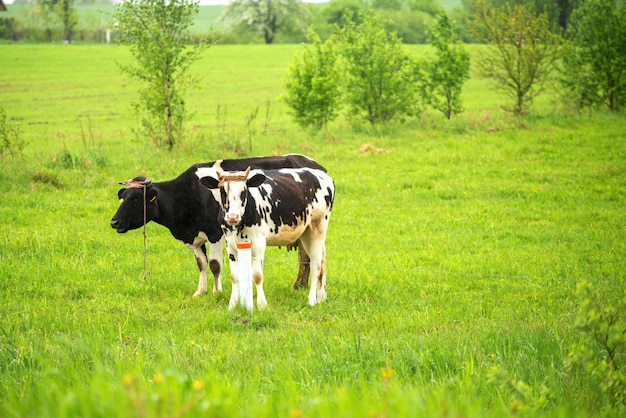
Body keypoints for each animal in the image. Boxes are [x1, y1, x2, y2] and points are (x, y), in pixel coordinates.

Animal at [109, 154, 324, 298]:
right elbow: (201, 264)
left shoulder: (215, 234)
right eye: (123, 197)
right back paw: (299, 286)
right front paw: (200, 291)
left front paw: (216, 291)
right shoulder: (195, 238)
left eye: (137, 199)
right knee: (304, 256)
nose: (114, 222)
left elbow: (214, 264)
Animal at [199, 165, 336, 308]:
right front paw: (232, 305)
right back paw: (321, 297)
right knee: (321, 261)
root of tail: (320, 174)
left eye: (244, 191)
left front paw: (261, 305)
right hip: (305, 233)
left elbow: (257, 275)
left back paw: (312, 300)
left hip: (318, 227)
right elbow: (235, 276)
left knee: (316, 264)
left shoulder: (259, 243)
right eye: (222, 191)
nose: (232, 217)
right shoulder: (230, 243)